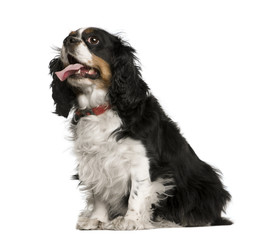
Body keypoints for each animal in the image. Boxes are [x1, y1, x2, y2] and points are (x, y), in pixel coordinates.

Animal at [49, 27, 231, 230]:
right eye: (68, 36)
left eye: (93, 40)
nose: (68, 41)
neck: (102, 108)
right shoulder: (95, 161)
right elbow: (100, 193)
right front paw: (97, 219)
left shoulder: (142, 161)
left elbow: (137, 194)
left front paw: (130, 220)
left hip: (206, 183)